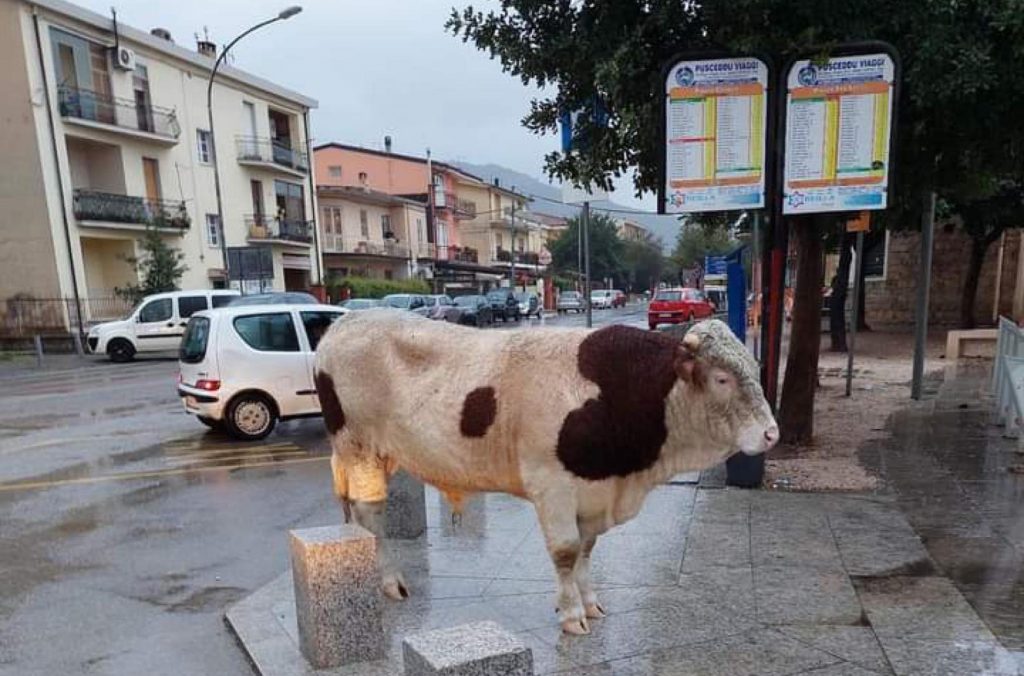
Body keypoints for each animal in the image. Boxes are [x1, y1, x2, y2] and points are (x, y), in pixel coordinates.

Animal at [311, 311, 774, 635]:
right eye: (722, 378)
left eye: (755, 368)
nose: (772, 433)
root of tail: (345, 322)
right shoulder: (552, 484)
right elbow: (566, 550)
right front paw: (571, 615)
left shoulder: (592, 488)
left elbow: (586, 548)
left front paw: (589, 603)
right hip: (358, 448)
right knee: (370, 513)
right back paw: (390, 581)